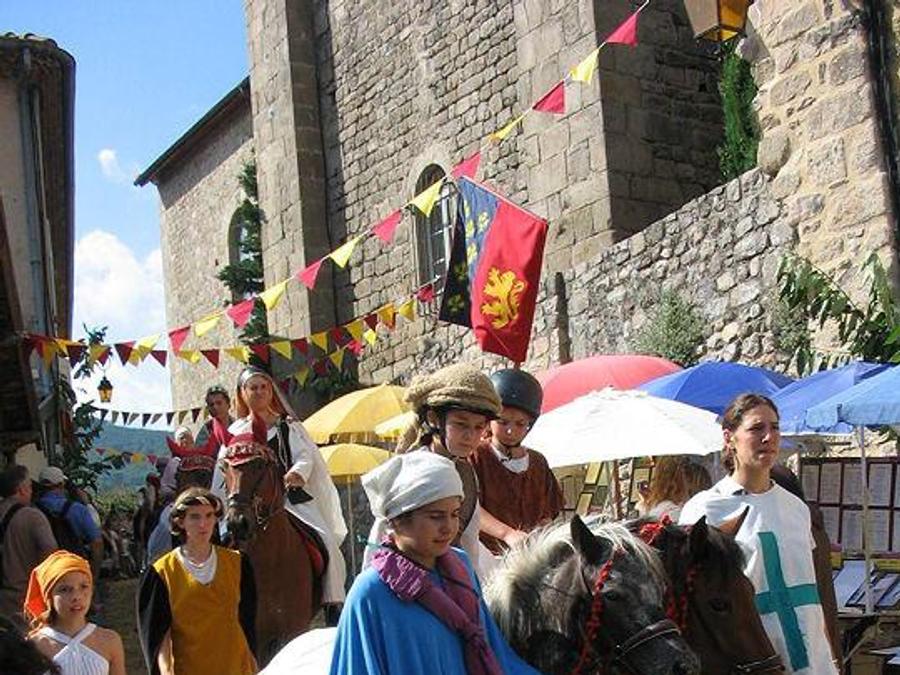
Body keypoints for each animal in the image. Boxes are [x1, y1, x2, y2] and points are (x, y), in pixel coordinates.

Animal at [220, 438, 324, 667]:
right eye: (224, 468)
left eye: (259, 465)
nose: (237, 523)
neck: (271, 564)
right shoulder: (256, 637)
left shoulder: (294, 629)